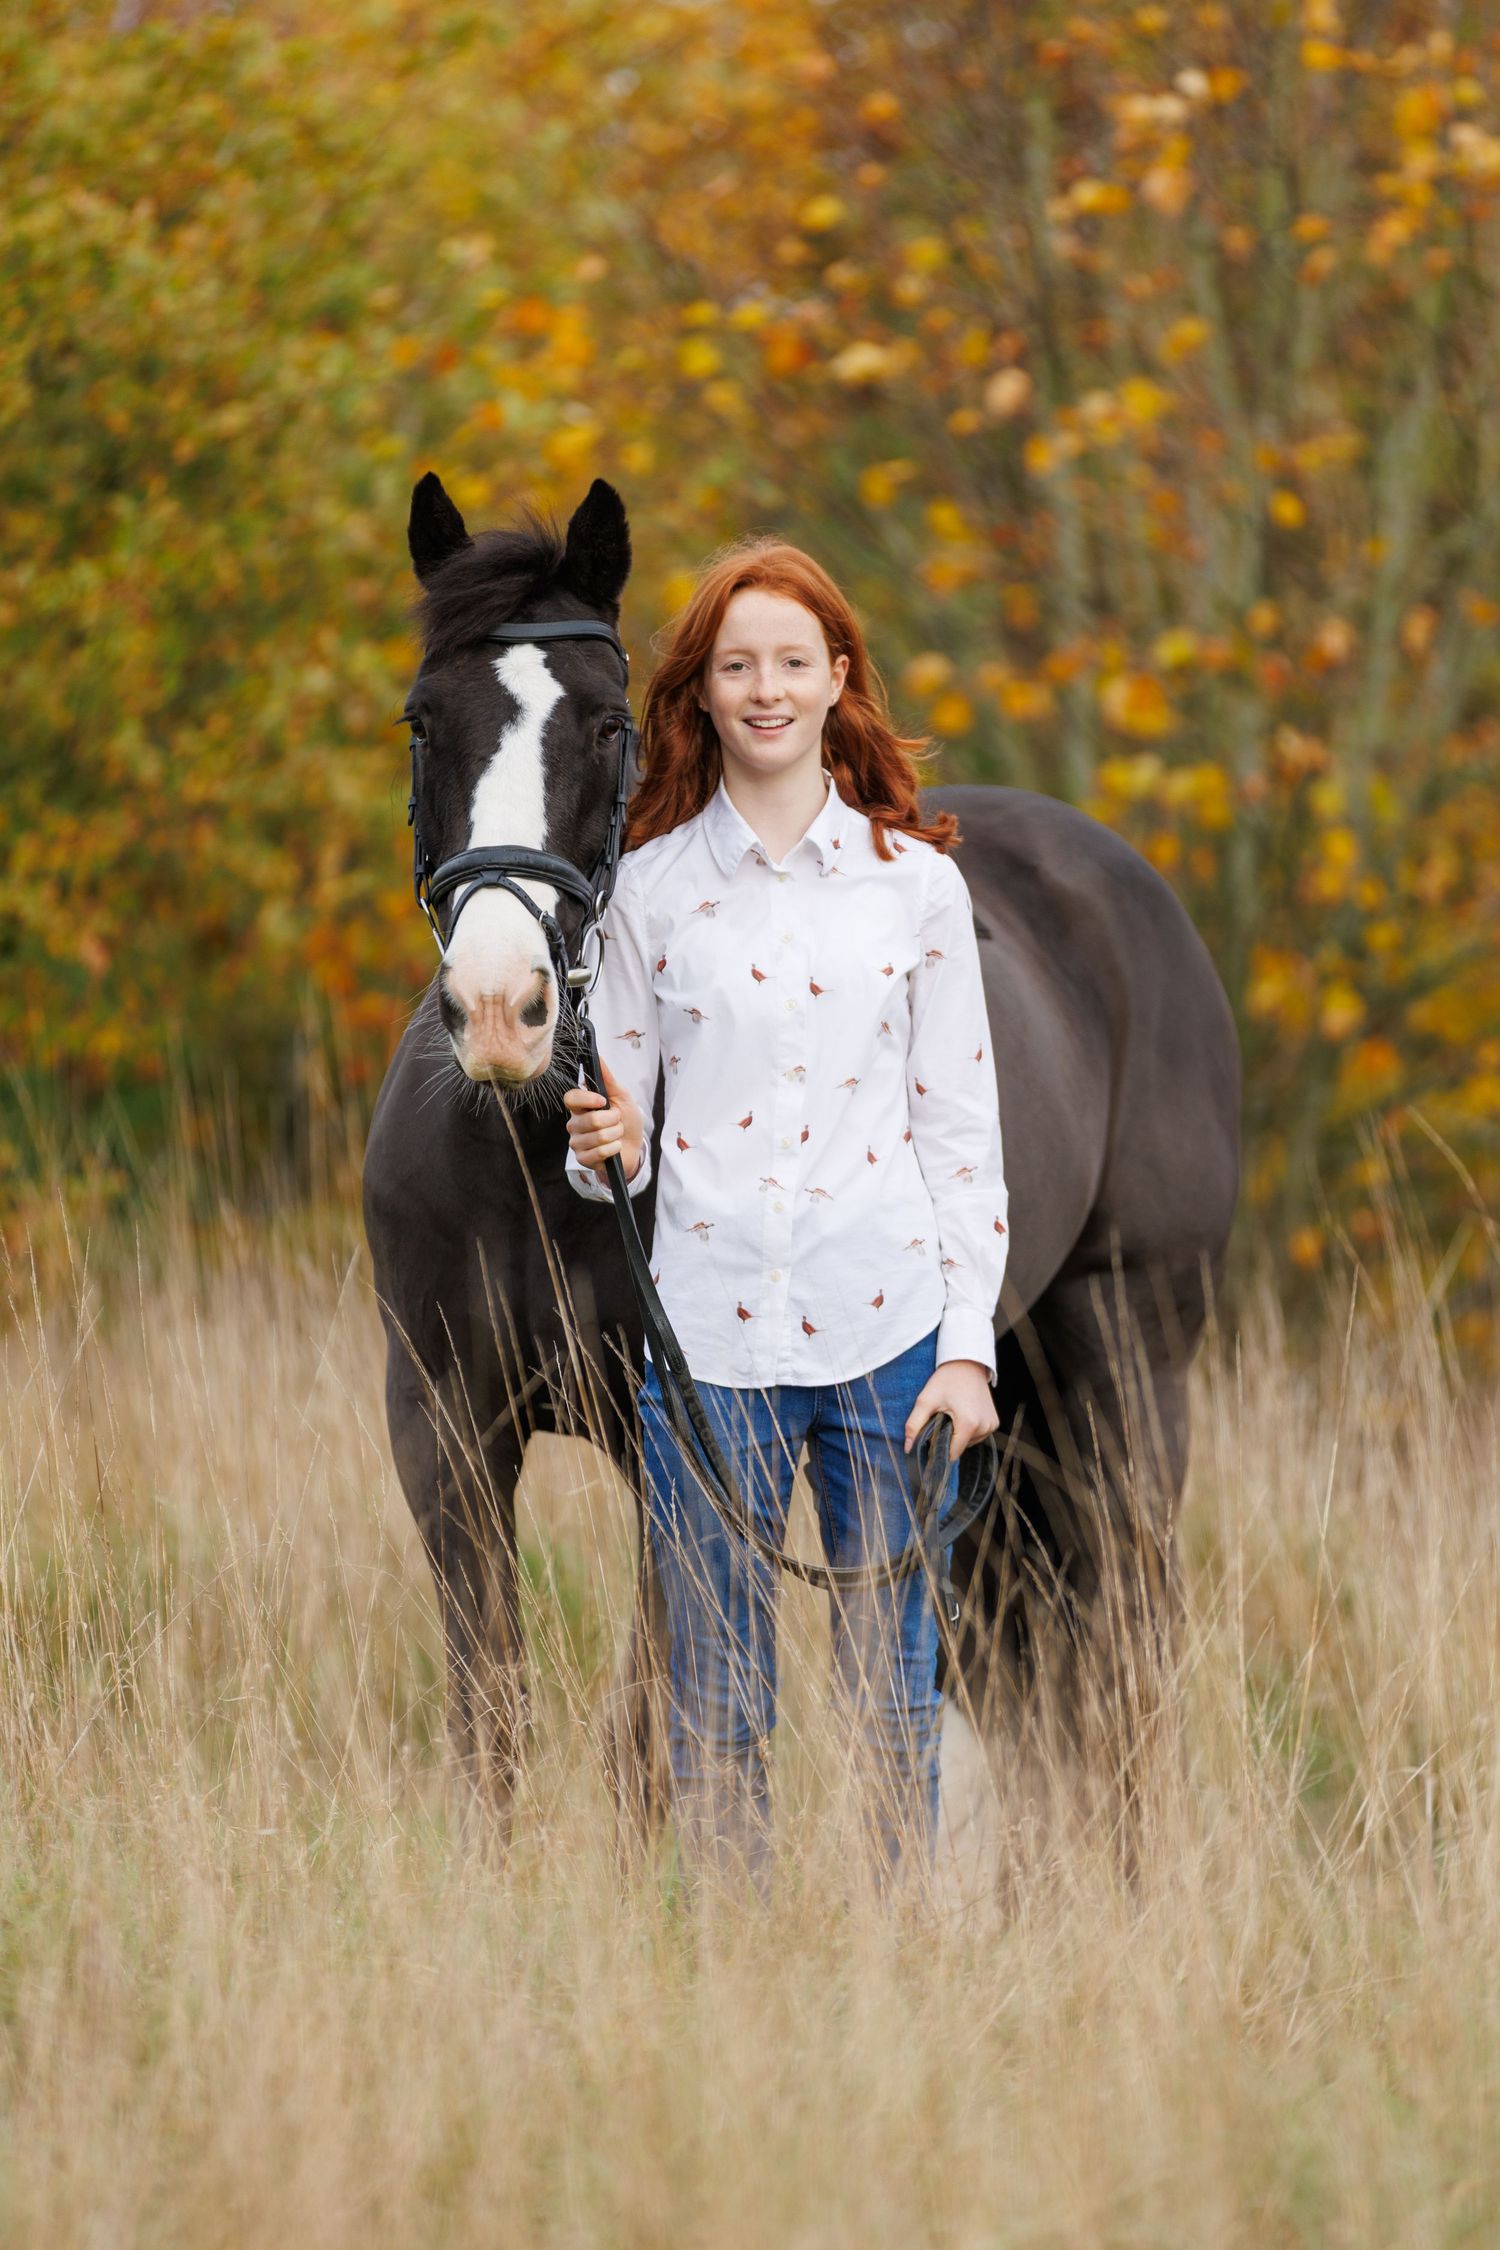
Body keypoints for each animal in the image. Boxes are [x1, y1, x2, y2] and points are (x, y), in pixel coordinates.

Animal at [362, 472, 1241, 1856]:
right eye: (422, 720)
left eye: (608, 725)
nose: (501, 1011)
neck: (531, 1167)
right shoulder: (444, 1427)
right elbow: (489, 1723)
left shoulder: (678, 1454)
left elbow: (647, 1744)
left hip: (1127, 1361)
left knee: (1126, 1652)